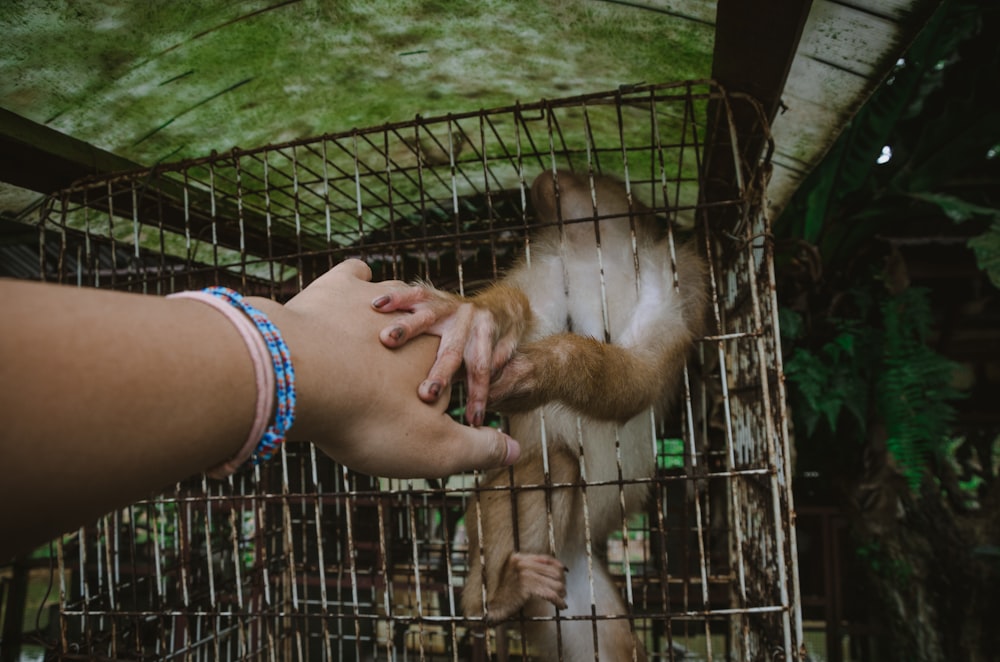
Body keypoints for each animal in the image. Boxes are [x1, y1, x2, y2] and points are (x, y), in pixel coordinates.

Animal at [376, 171, 712, 662]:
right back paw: (492, 602)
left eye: (587, 172)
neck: (599, 255)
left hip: (577, 589)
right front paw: (475, 317)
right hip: (486, 517)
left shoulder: (677, 279)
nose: (548, 175)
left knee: (614, 645)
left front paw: (549, 367)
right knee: (557, 465)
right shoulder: (549, 267)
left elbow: (645, 370)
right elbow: (521, 313)